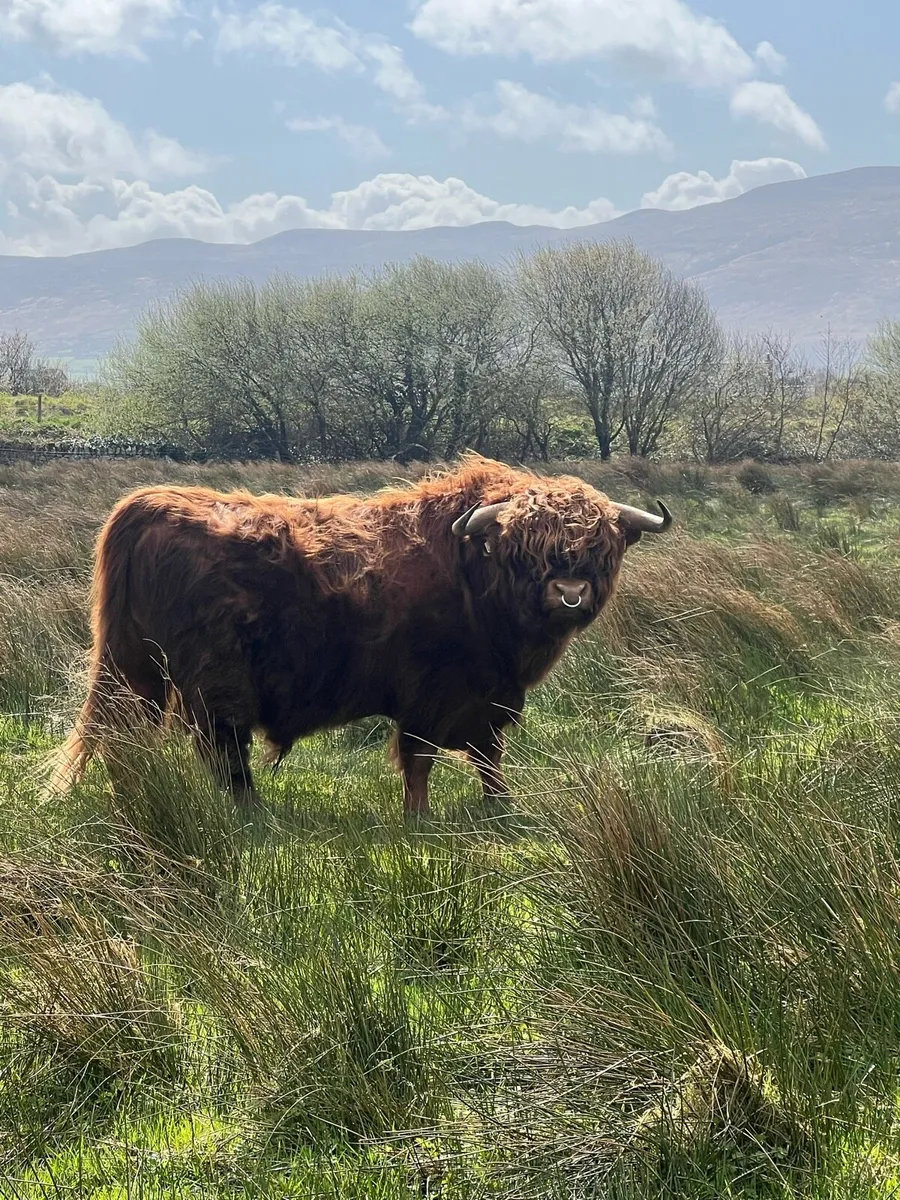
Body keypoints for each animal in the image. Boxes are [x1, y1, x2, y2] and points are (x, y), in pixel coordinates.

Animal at [50, 454, 672, 816]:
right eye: (524, 551)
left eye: (601, 548)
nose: (569, 593)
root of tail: (149, 503)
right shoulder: (435, 693)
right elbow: (421, 760)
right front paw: (419, 820)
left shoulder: (489, 698)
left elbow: (488, 758)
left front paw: (501, 809)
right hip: (211, 681)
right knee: (222, 749)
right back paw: (253, 816)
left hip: (135, 671)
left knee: (124, 743)